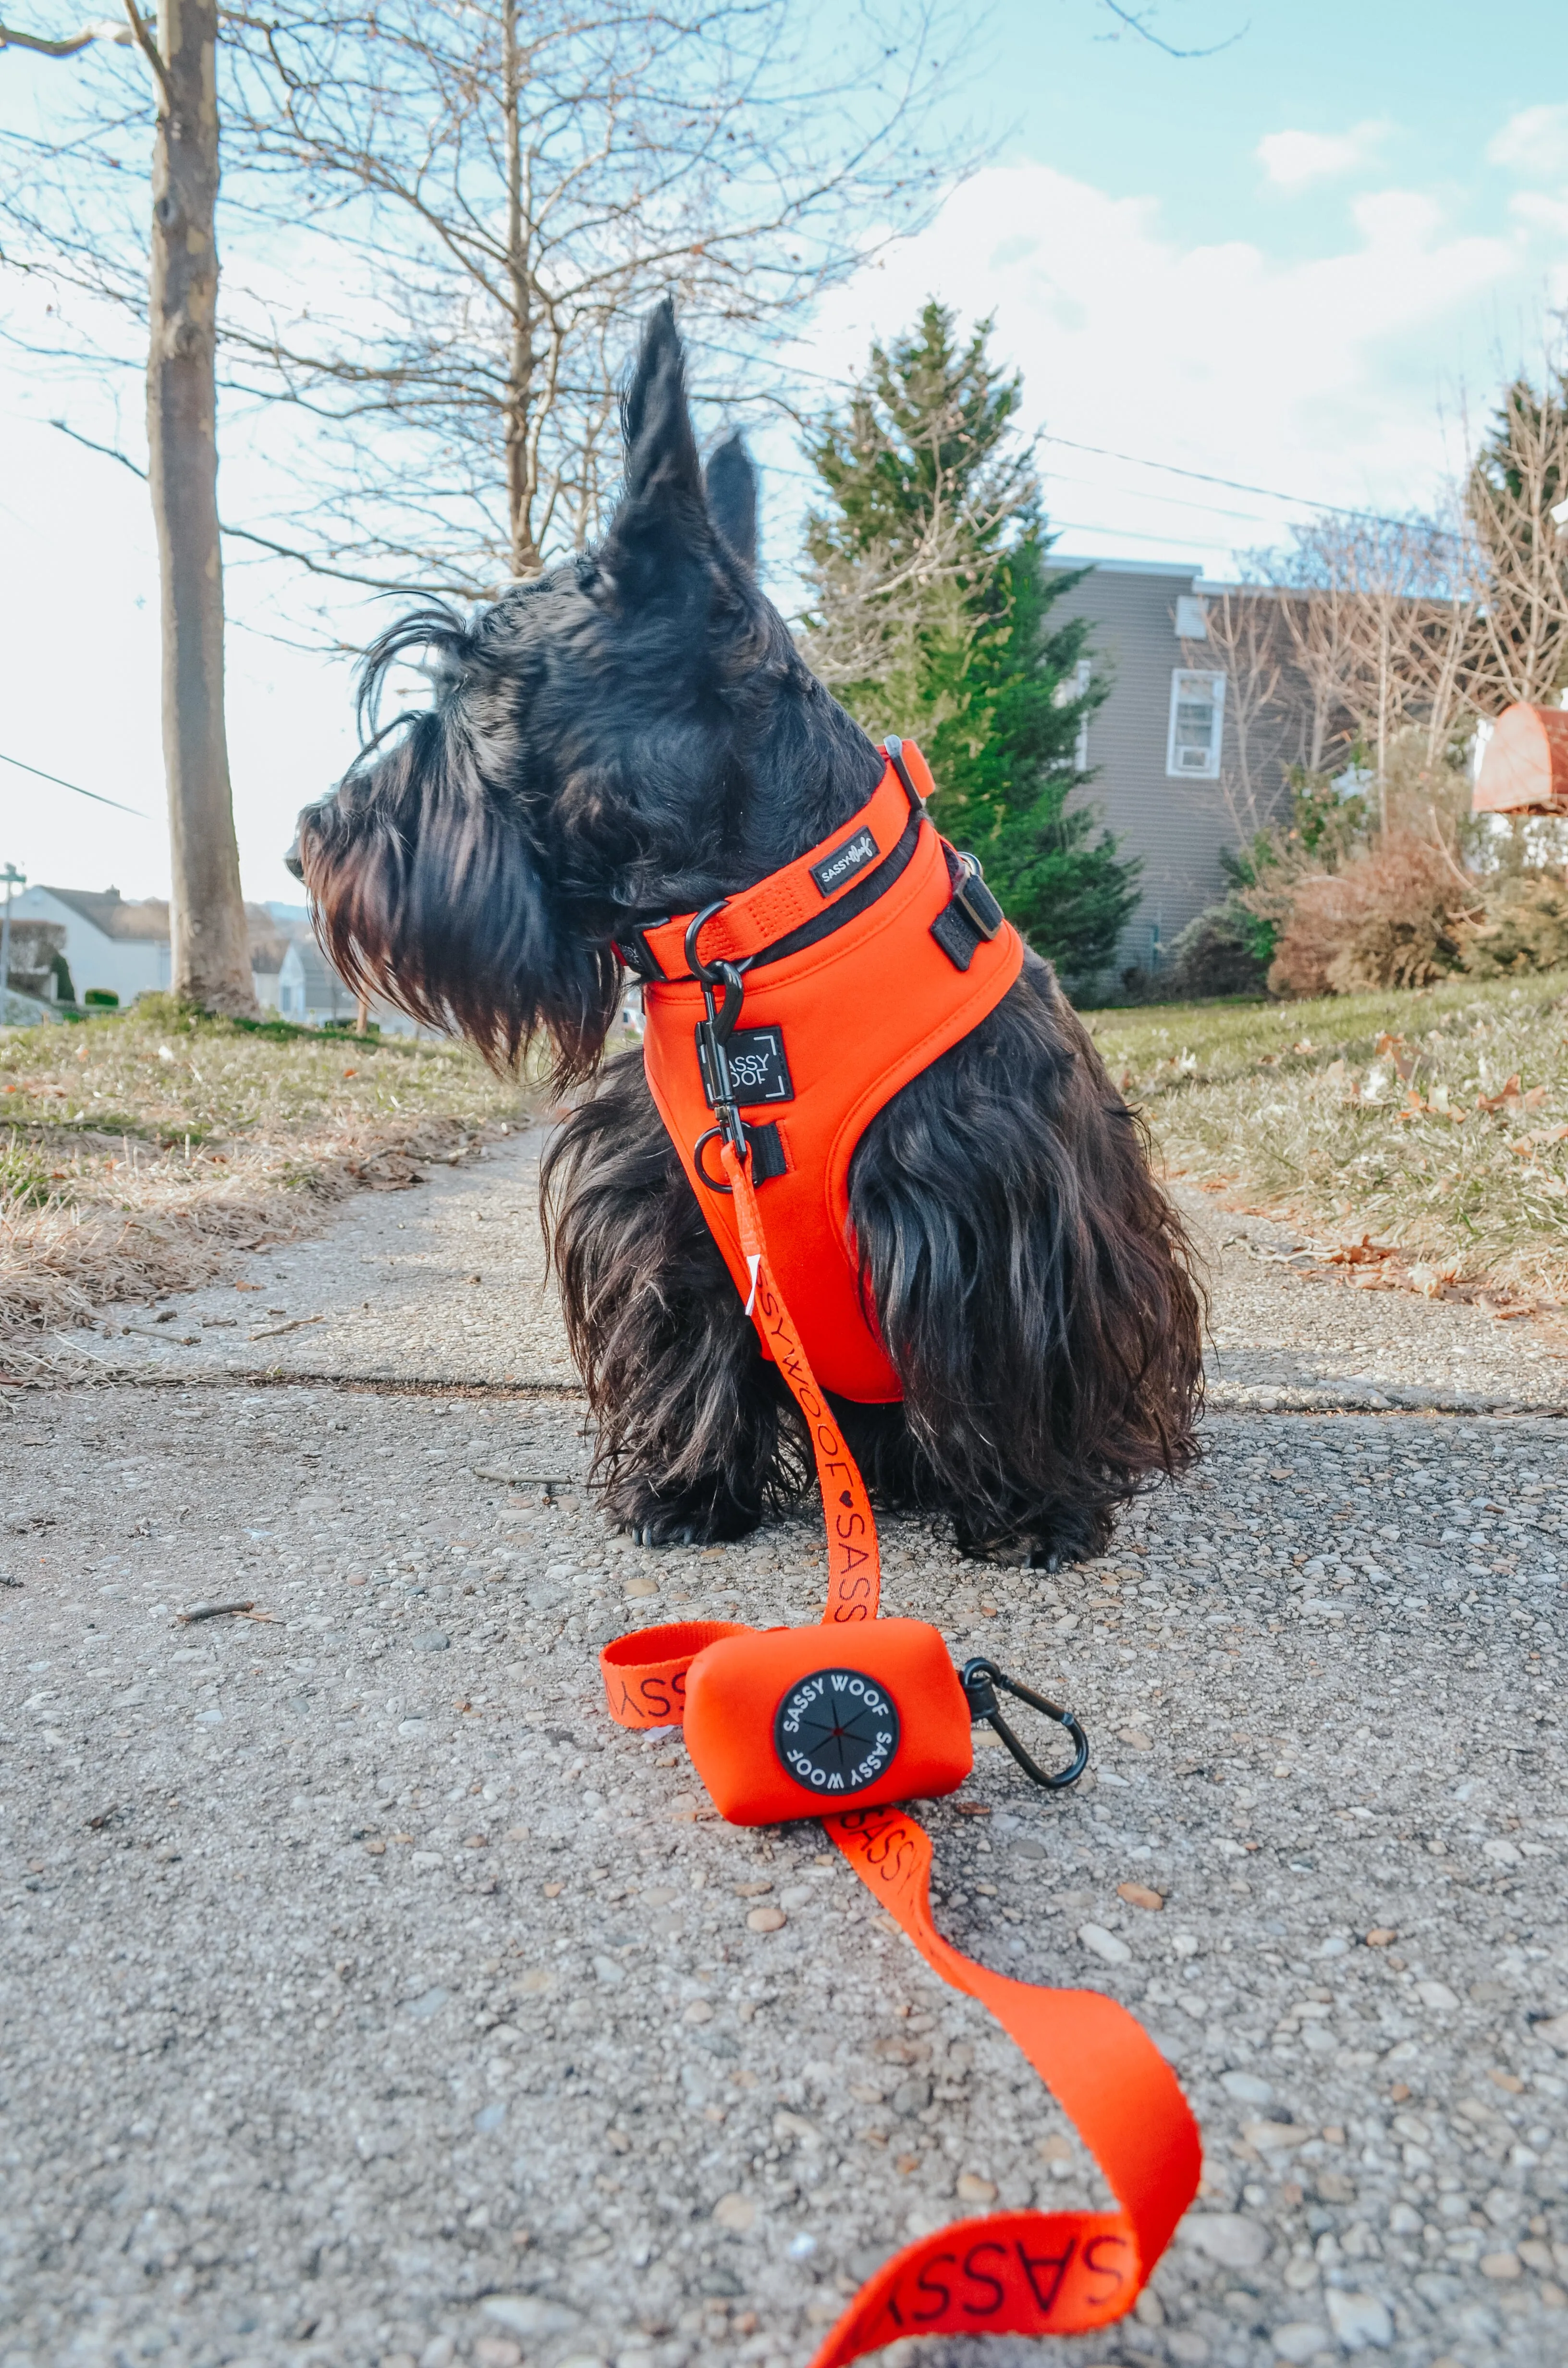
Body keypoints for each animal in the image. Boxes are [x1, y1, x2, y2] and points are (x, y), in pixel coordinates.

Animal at [294, 296, 1203, 1563]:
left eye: (476, 685)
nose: (309, 844)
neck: (754, 945)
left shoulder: (1004, 1210)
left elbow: (1011, 1357)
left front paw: (1034, 1509)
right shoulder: (668, 1215)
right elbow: (693, 1348)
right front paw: (687, 1491)